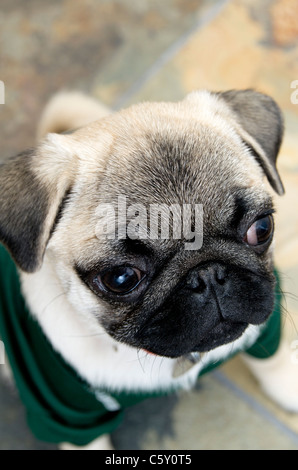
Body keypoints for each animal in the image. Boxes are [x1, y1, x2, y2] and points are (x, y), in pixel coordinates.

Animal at [0, 90, 296, 450]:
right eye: (121, 278)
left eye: (261, 228)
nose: (207, 275)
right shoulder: (65, 411)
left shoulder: (266, 322)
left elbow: (272, 359)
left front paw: (288, 386)